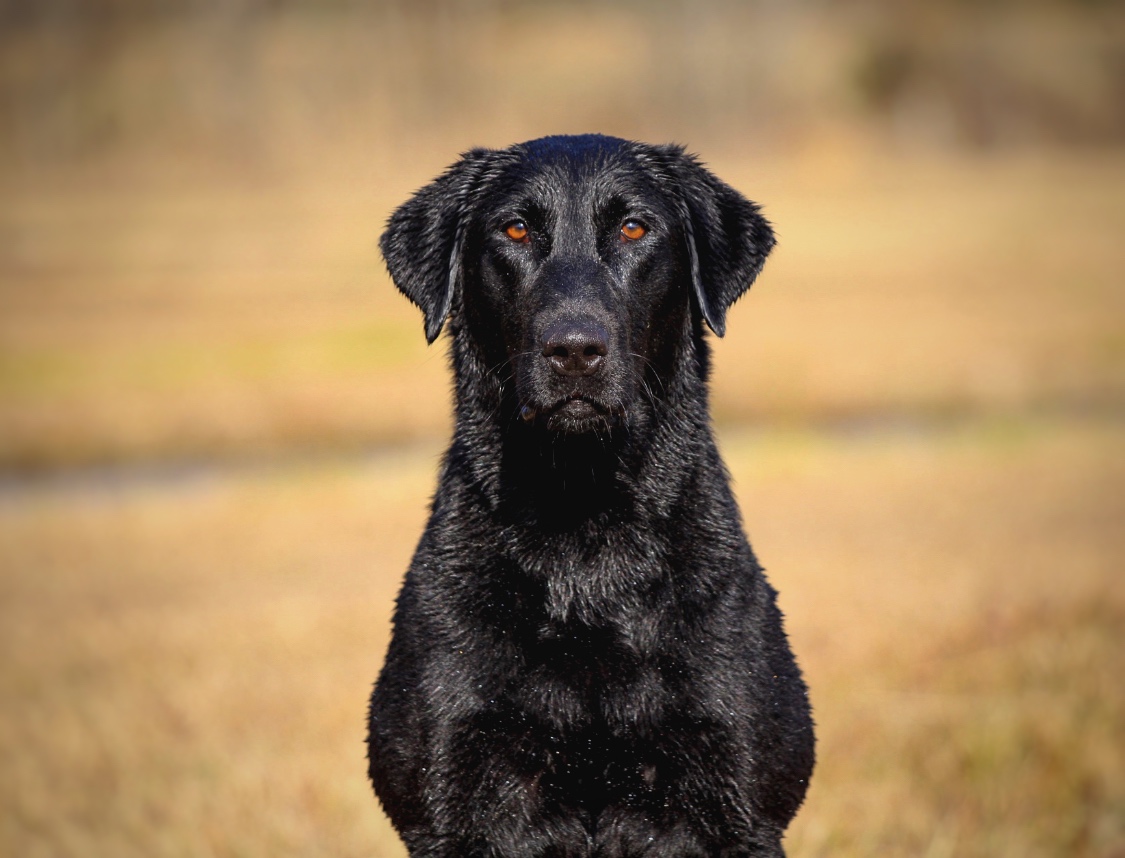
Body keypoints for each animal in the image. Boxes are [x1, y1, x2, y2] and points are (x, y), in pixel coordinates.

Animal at [373, 136, 814, 858]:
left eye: (634, 228)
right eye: (515, 230)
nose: (574, 350)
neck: (583, 529)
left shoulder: (743, 809)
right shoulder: (445, 805)